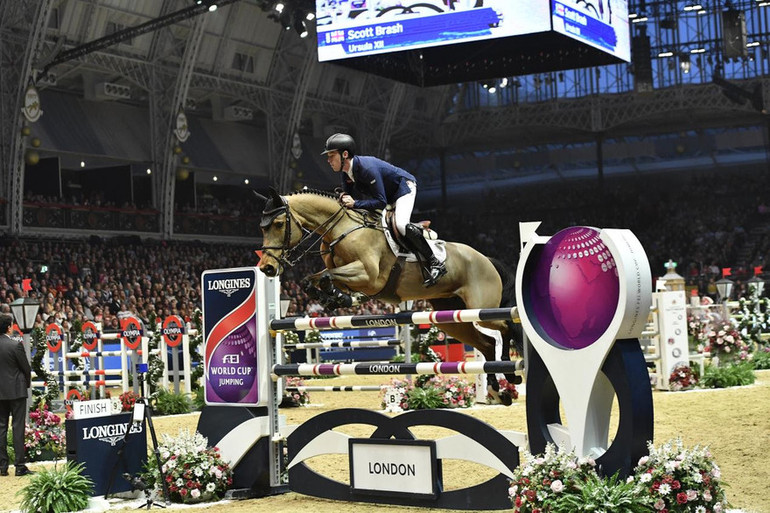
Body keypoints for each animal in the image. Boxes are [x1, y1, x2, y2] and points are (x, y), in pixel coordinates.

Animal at [258, 188, 520, 404]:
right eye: (263, 227)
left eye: (279, 224)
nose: (267, 268)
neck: (341, 229)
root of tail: (486, 259)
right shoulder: (351, 277)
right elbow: (313, 280)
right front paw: (335, 299)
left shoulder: (369, 276)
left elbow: (326, 277)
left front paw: (336, 298)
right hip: (452, 318)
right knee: (487, 344)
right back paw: (498, 390)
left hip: (482, 309)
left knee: (506, 326)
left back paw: (511, 374)